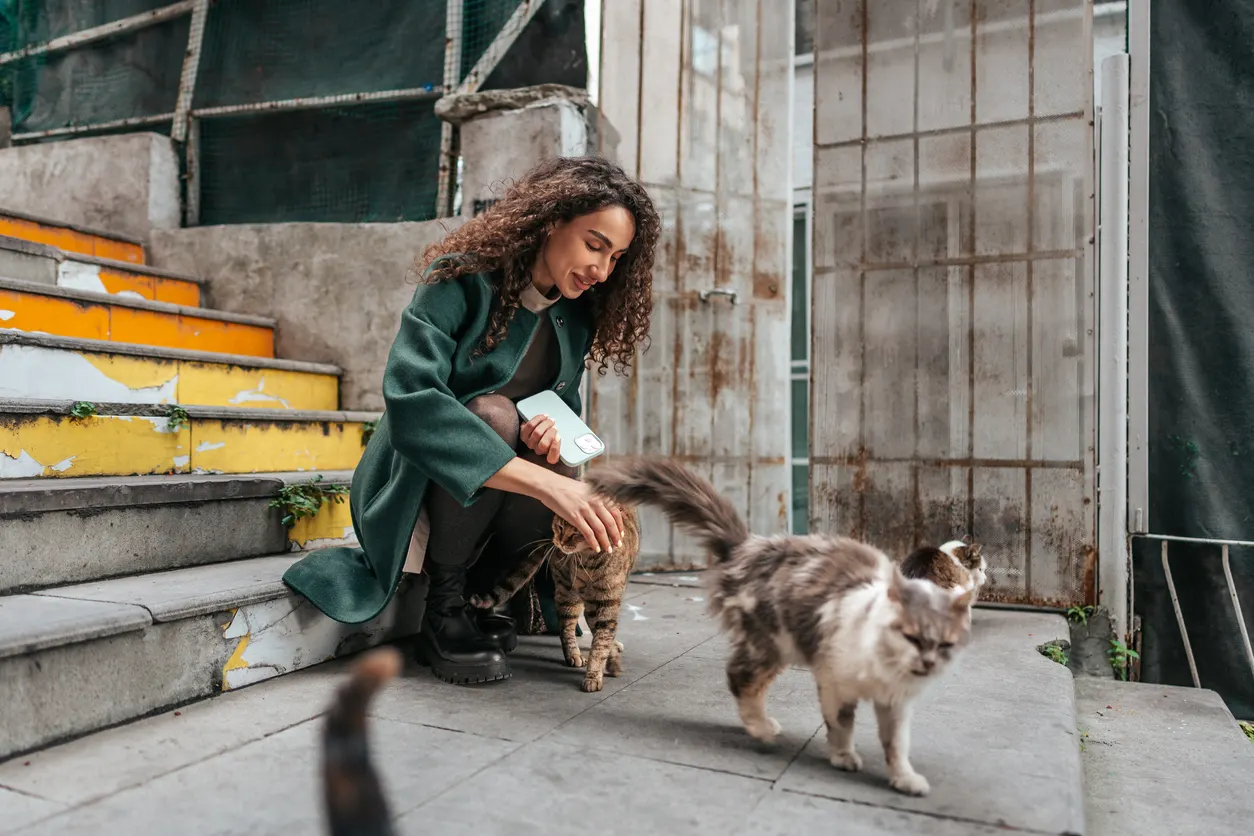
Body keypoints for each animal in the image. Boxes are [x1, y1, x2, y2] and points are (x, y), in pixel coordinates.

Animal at [471, 503, 647, 691]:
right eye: (561, 527)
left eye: (577, 532)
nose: (560, 542)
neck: (588, 561)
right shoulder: (592, 602)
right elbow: (599, 639)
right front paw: (598, 671)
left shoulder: (605, 602)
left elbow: (602, 640)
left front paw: (600, 669)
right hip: (567, 591)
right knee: (566, 627)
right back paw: (573, 654)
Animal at [581, 458, 973, 797]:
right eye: (911, 636)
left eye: (945, 645)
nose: (927, 663)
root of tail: (749, 546)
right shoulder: (833, 678)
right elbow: (841, 723)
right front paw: (844, 756)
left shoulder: (896, 702)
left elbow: (897, 744)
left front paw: (905, 778)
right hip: (771, 642)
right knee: (739, 678)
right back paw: (762, 729)